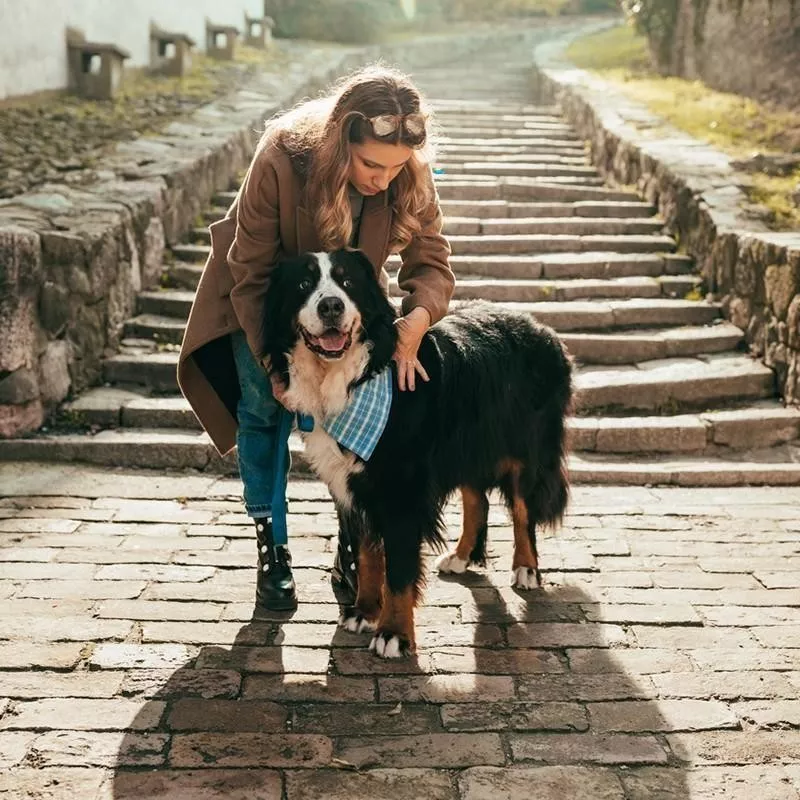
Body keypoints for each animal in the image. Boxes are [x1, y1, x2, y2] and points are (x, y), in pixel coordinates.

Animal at [266, 250, 572, 656]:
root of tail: (542, 329)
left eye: (347, 283)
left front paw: (393, 634)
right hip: (466, 445)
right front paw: (364, 612)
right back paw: (461, 557)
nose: (331, 305)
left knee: (523, 510)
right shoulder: (352, 486)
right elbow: (367, 555)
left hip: (526, 448)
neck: (355, 376)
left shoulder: (401, 488)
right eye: (303, 283)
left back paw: (526, 568)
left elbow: (398, 568)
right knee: (477, 500)